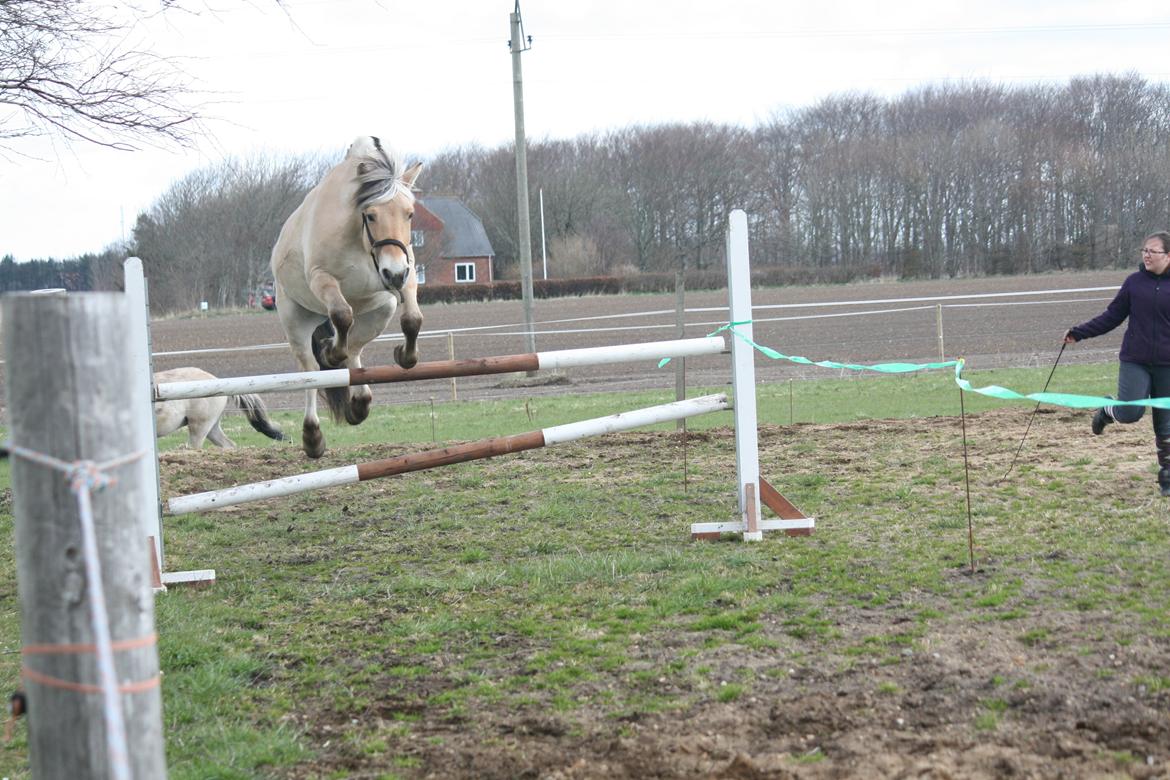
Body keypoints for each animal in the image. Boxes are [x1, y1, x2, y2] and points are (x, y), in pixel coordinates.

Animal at [271, 137, 423, 460]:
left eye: (409, 214)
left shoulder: (407, 273)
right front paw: (331, 352)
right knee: (311, 369)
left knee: (355, 350)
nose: (393, 274)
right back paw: (313, 436)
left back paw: (359, 403)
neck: (360, 239)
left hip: (381, 307)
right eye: (371, 215)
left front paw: (404, 356)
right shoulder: (322, 278)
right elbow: (341, 314)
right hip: (295, 316)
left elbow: (413, 319)